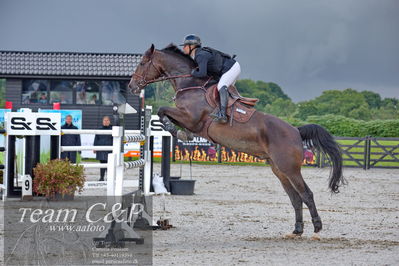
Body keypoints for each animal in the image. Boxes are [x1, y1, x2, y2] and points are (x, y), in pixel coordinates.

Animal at [130, 43, 346, 239]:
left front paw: (179, 132)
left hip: (290, 168)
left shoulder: (190, 118)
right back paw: (297, 230)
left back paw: (317, 227)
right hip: (279, 169)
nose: (132, 86)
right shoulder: (187, 119)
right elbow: (164, 113)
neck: (190, 83)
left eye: (142, 63)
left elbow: (163, 110)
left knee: (306, 194)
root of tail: (296, 130)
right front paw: (181, 133)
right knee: (295, 198)